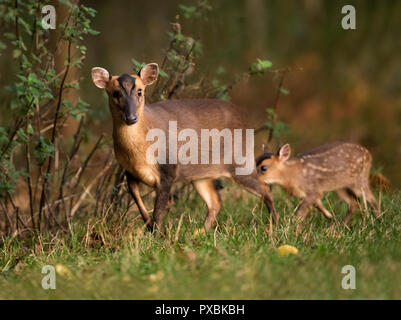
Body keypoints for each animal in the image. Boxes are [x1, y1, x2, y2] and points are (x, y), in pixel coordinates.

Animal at [92, 62, 276, 231]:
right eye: (115, 93)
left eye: (140, 91)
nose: (131, 118)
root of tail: (246, 119)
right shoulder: (129, 171)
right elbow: (138, 200)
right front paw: (149, 226)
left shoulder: (168, 170)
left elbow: (158, 211)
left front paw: (156, 234)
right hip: (200, 175)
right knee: (215, 201)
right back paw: (200, 232)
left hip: (240, 161)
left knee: (265, 189)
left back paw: (273, 226)